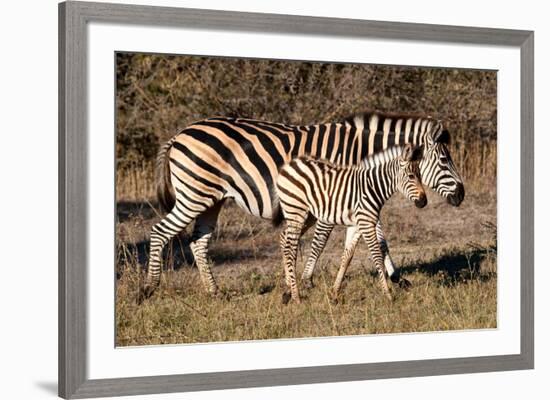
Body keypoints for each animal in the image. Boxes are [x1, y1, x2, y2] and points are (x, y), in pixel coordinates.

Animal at [278, 145, 430, 304]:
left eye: (420, 175)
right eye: (411, 176)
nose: (424, 202)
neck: (373, 188)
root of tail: (291, 163)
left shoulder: (356, 225)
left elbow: (347, 256)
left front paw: (334, 293)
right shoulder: (366, 223)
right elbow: (377, 255)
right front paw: (387, 294)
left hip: (307, 215)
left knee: (284, 237)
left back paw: (289, 290)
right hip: (296, 211)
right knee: (291, 248)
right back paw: (296, 297)